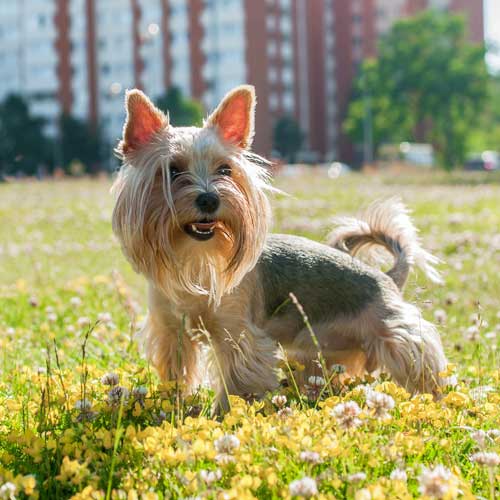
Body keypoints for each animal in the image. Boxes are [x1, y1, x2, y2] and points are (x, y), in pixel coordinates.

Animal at [112, 83, 450, 410]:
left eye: (225, 170)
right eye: (172, 170)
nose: (209, 199)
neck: (196, 259)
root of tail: (388, 278)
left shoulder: (239, 334)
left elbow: (237, 383)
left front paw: (224, 415)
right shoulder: (171, 330)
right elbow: (177, 373)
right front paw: (174, 404)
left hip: (395, 332)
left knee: (421, 365)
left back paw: (435, 402)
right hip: (321, 352)